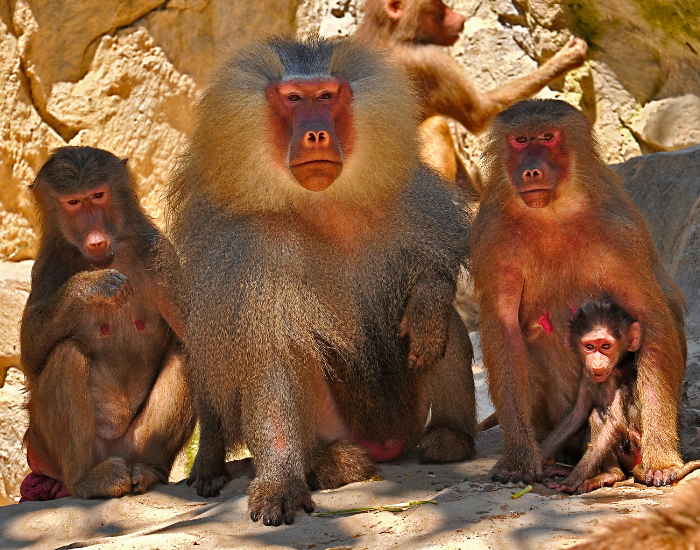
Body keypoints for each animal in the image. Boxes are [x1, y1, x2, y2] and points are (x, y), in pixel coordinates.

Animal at [19, 146, 195, 501]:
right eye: (74, 202)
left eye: (98, 195)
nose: (96, 238)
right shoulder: (49, 264)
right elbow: (32, 358)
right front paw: (89, 288)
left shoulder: (157, 252)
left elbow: (196, 335)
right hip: (46, 455)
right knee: (66, 355)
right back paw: (88, 479)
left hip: (134, 444)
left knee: (187, 356)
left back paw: (149, 471)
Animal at [164, 36, 477, 527]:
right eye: (294, 99)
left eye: (327, 96)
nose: (316, 135)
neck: (321, 204)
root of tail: (386, 445)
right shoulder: (250, 250)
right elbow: (271, 359)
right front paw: (279, 485)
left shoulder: (406, 198)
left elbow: (435, 276)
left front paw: (428, 300)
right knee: (298, 355)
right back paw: (328, 466)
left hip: (408, 419)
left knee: (448, 328)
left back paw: (451, 438)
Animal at [355, 0, 588, 190]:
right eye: (438, 6)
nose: (460, 19)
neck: (386, 32)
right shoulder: (430, 60)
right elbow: (479, 115)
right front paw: (567, 58)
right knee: (436, 125)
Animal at [470, 98, 687, 488]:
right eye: (520, 141)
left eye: (547, 137)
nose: (530, 171)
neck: (553, 210)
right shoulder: (493, 235)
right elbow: (504, 328)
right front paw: (518, 460)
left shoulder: (618, 231)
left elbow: (651, 318)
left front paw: (661, 459)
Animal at [540, 300, 700, 494]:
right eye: (589, 347)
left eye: (606, 346)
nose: (597, 363)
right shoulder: (586, 373)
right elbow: (578, 414)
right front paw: (535, 459)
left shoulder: (616, 381)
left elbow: (614, 423)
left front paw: (571, 481)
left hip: (635, 447)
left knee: (598, 416)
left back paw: (611, 475)